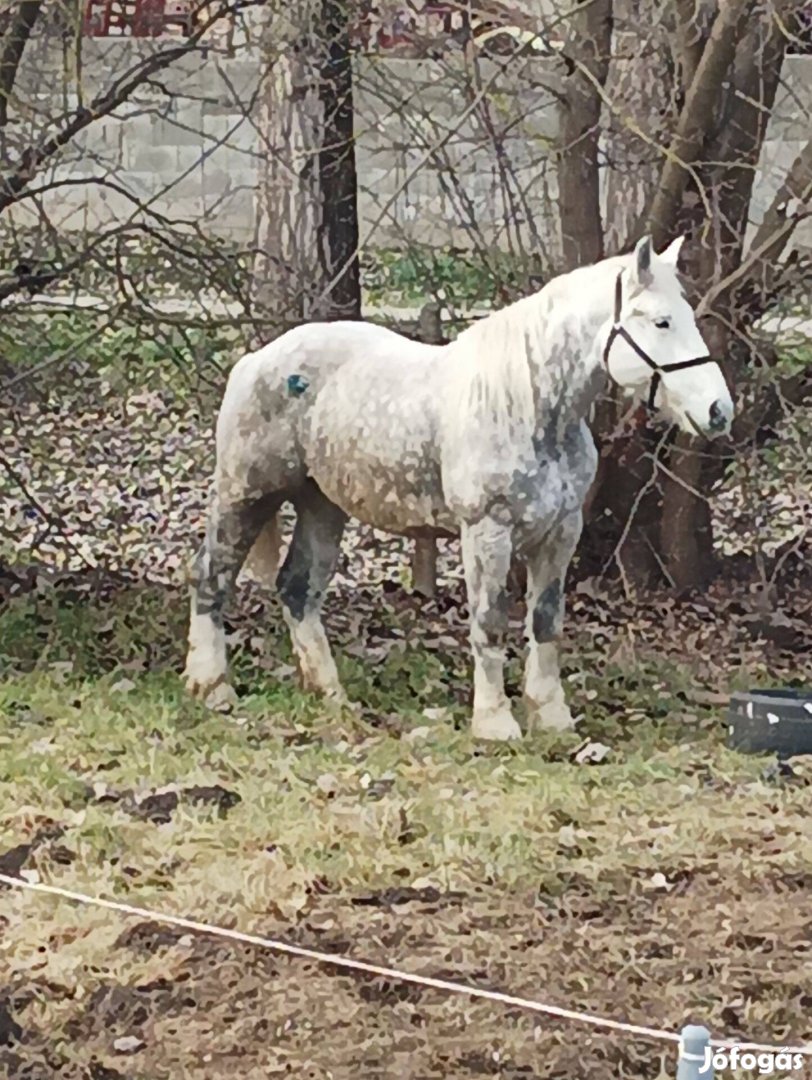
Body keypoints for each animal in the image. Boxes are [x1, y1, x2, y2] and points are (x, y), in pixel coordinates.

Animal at [185, 236, 734, 743]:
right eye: (661, 322)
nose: (719, 411)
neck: (529, 405)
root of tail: (255, 360)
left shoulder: (560, 532)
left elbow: (545, 621)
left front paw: (551, 717)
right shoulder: (487, 532)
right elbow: (490, 621)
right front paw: (494, 723)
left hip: (322, 504)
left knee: (298, 590)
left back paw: (331, 695)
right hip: (244, 493)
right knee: (212, 578)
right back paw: (212, 688)